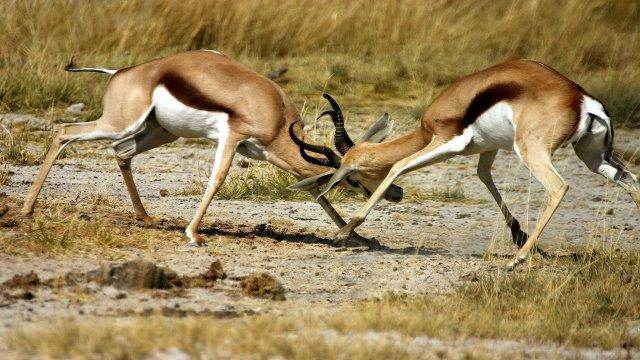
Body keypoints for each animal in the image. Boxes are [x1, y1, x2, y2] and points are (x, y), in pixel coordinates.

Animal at [22, 50, 402, 246]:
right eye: (355, 179)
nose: (395, 193)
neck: (273, 111)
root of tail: (122, 71)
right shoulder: (232, 137)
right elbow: (216, 180)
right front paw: (193, 235)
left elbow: (313, 192)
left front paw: (356, 236)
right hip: (119, 123)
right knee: (65, 132)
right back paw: (26, 210)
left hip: (161, 132)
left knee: (122, 152)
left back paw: (146, 217)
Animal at [290, 59, 640, 268]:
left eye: (355, 178)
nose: (397, 195)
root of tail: (582, 99)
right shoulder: (487, 148)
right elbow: (484, 177)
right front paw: (518, 234)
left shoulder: (446, 142)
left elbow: (398, 165)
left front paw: (345, 230)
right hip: (592, 157)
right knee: (630, 180)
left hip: (531, 151)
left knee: (559, 187)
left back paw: (516, 260)